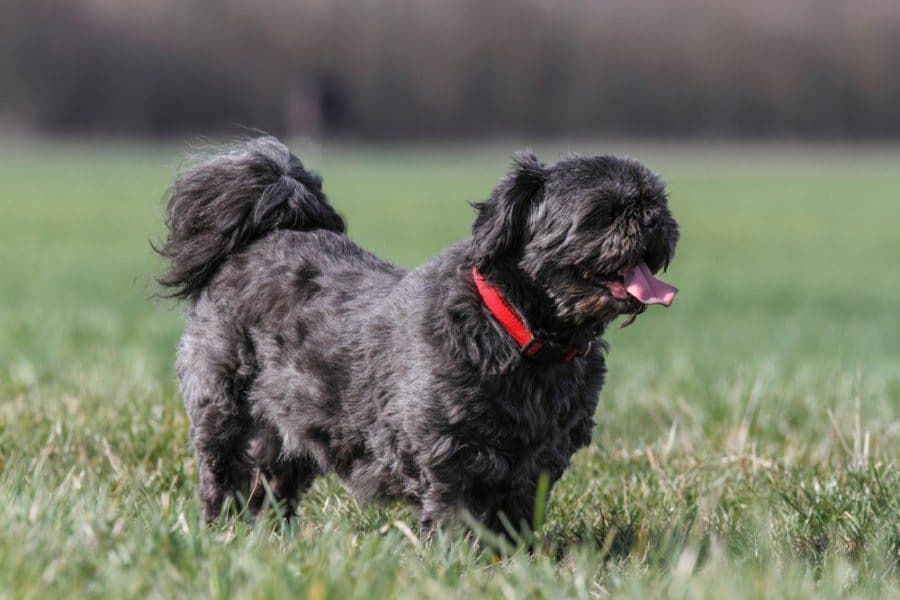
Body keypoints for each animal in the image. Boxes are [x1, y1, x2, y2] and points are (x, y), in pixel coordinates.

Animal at [156, 138, 676, 532]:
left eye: (658, 201)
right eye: (605, 211)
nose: (653, 218)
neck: (517, 332)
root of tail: (256, 239)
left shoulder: (538, 465)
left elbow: (517, 522)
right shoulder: (446, 453)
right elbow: (451, 516)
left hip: (292, 430)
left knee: (270, 491)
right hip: (223, 413)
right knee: (221, 478)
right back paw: (219, 533)